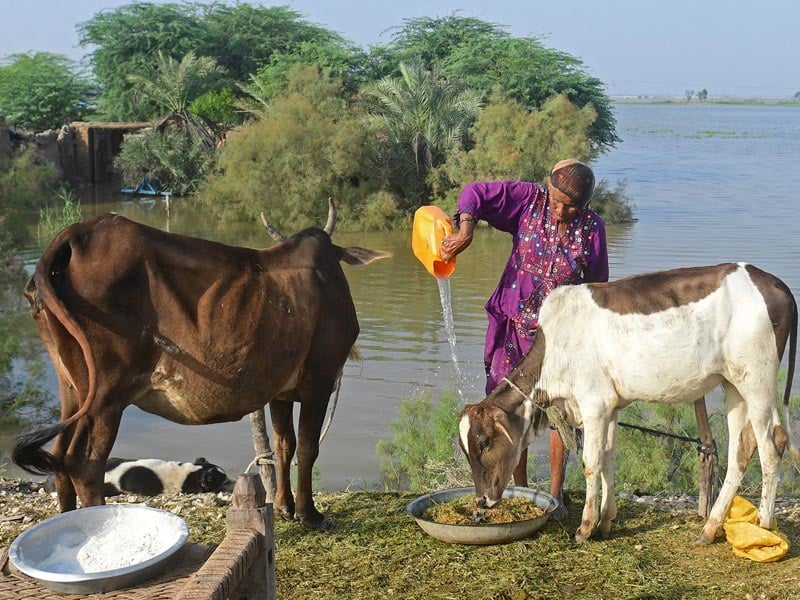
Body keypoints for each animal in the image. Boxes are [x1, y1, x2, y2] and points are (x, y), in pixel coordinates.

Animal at [12, 205, 388, 528]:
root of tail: (77, 233)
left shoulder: (281, 391)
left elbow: (284, 446)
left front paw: (284, 506)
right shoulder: (319, 380)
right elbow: (309, 447)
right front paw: (309, 514)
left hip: (73, 387)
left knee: (60, 458)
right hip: (108, 395)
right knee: (84, 465)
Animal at [460, 262, 796, 544]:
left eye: (485, 442)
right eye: (467, 449)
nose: (481, 500)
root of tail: (771, 281)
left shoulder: (594, 404)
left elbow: (591, 463)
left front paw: (585, 528)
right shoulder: (610, 407)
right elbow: (607, 459)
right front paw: (606, 522)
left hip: (758, 383)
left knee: (770, 448)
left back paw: (765, 526)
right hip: (734, 385)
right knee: (742, 450)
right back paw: (711, 528)